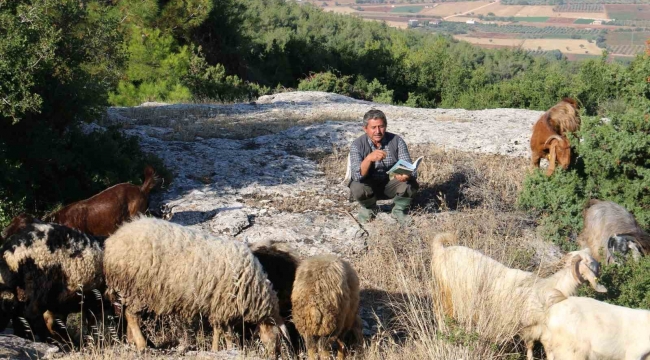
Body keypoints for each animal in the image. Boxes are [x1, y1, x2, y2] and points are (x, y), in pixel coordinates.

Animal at [103, 217, 286, 354]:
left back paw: (133, 341)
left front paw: (226, 348)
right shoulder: (222, 305)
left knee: (128, 314)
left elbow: (224, 331)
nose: (274, 356)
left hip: (131, 289)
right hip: (137, 288)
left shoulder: (221, 307)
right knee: (132, 316)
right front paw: (218, 349)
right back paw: (142, 345)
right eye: (277, 338)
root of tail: (113, 242)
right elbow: (222, 331)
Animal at [428, 232, 604, 358]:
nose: (600, 269)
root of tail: (441, 250)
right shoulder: (534, 330)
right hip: (448, 296)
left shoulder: (538, 332)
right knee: (442, 316)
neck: (551, 288)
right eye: (590, 263)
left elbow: (533, 349)